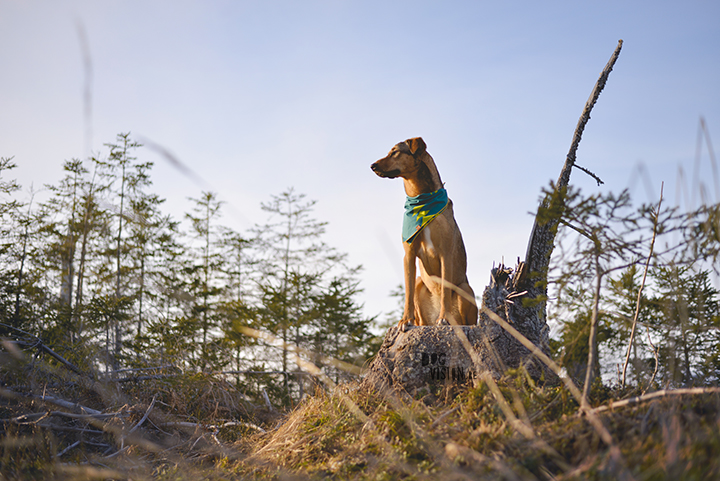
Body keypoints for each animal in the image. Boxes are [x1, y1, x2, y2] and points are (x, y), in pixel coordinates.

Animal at [372, 137, 478, 328]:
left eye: (395, 152)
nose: (372, 166)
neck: (421, 200)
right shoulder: (408, 254)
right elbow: (407, 294)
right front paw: (405, 320)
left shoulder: (446, 253)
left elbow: (445, 292)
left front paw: (444, 317)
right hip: (420, 284)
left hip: (464, 289)